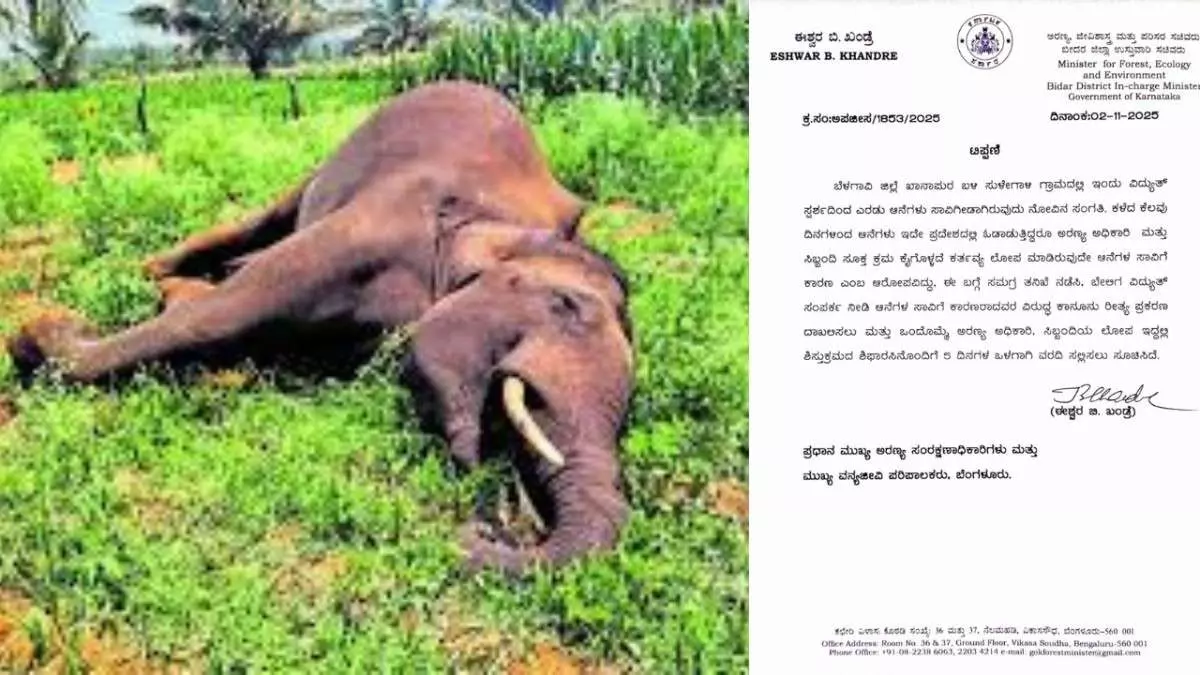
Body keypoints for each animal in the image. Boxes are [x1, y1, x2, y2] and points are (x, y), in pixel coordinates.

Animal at [5, 80, 636, 575]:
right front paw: (40, 333)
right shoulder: (377, 222)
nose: (488, 527)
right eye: (564, 304)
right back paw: (156, 271)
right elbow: (225, 310)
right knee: (262, 221)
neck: (500, 221)